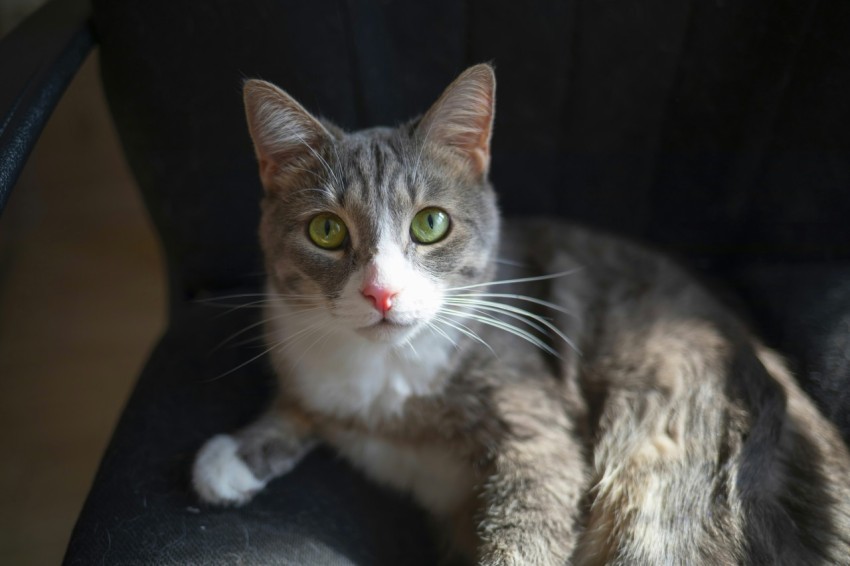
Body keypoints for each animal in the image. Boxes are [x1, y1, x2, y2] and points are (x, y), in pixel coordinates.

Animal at [192, 64, 848, 564]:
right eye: (326, 230)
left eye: (431, 223)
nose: (382, 294)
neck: (388, 380)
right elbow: (305, 399)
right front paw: (241, 452)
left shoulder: (537, 433)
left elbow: (529, 518)